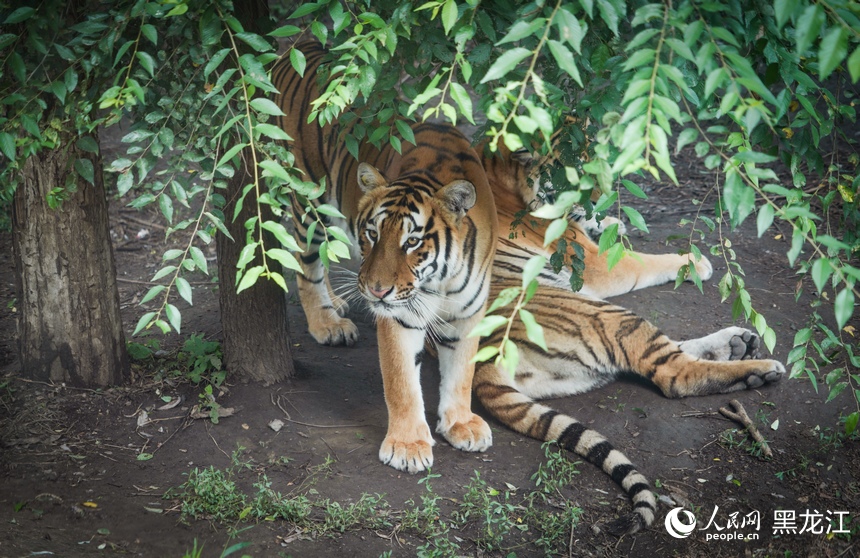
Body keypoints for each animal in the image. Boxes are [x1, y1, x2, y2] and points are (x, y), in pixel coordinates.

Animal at [272, 41, 494, 474]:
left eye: (412, 242)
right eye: (373, 235)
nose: (375, 291)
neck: (439, 282)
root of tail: (302, 46)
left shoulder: (469, 310)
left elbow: (462, 370)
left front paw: (461, 423)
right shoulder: (400, 315)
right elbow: (401, 381)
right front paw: (408, 446)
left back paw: (338, 302)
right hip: (309, 200)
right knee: (308, 265)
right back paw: (327, 322)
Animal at [478, 144, 788, 532]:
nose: (599, 200)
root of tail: (484, 353)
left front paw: (611, 221)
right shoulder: (595, 264)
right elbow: (642, 261)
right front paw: (696, 262)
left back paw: (738, 343)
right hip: (605, 314)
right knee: (675, 374)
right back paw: (760, 368)